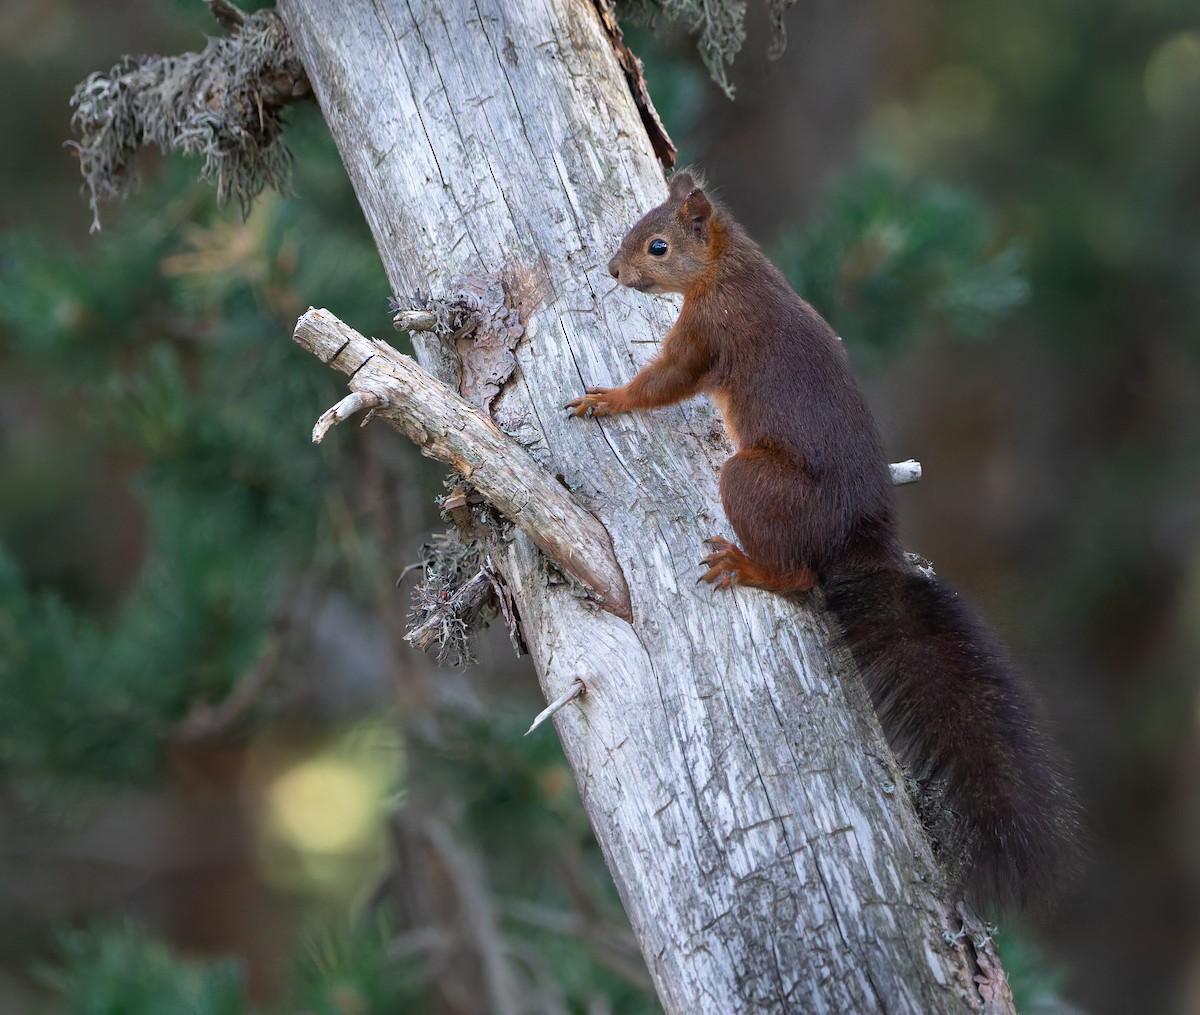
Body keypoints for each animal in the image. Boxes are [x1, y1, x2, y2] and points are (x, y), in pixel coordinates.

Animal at [566, 170, 1079, 913]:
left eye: (657, 245)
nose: (612, 270)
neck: (729, 269)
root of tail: (860, 540)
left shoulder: (708, 330)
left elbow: (667, 381)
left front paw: (608, 398)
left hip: (753, 484)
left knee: (801, 576)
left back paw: (747, 565)